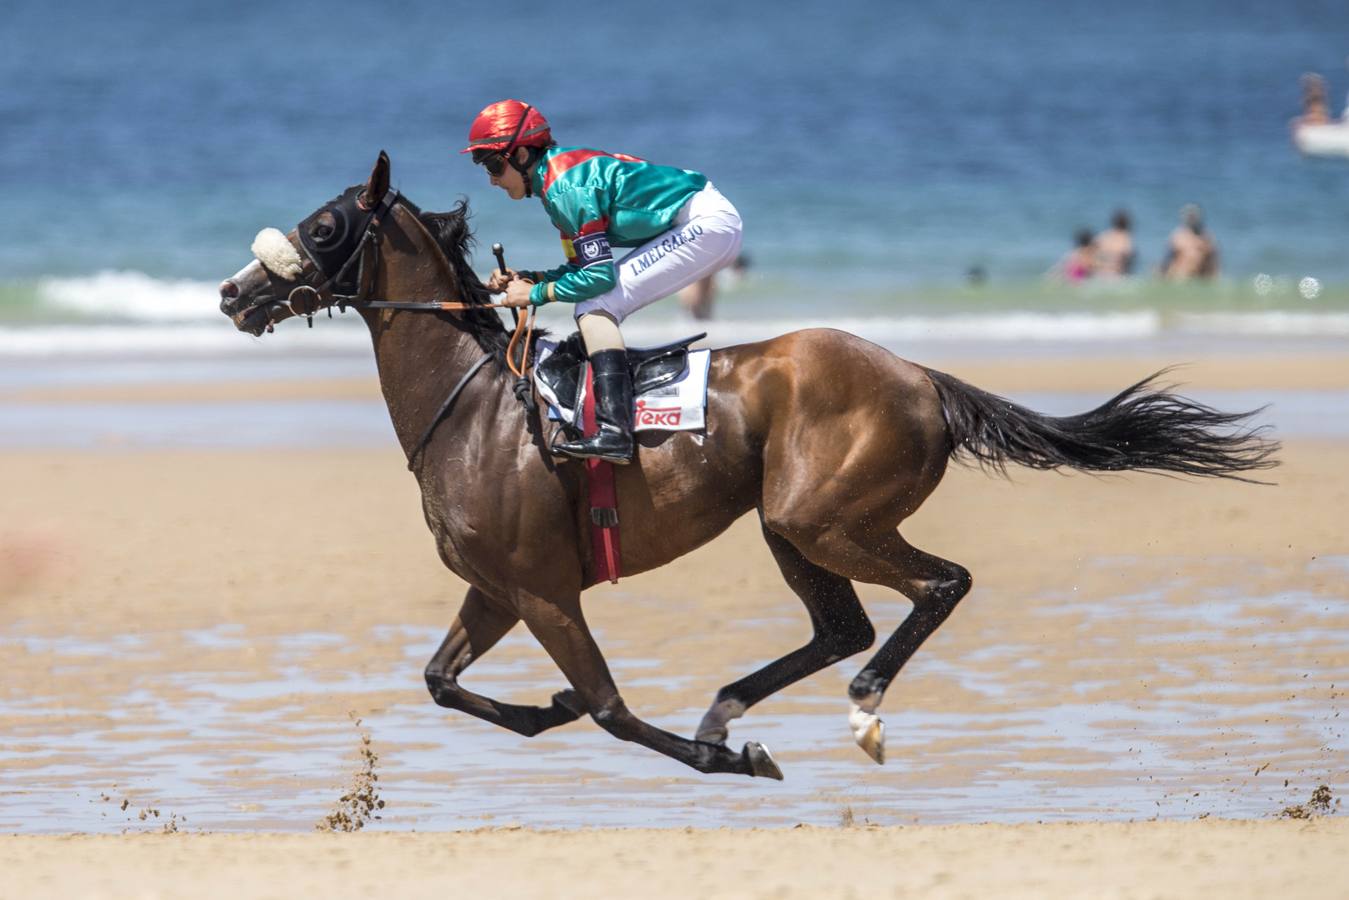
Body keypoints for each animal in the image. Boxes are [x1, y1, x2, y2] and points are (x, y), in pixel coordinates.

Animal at [218, 151, 1273, 777]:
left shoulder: (545, 591)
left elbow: (608, 709)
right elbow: (442, 681)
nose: (232, 292)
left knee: (936, 586)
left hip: (821, 516)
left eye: (322, 227)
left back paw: (854, 713)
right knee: (844, 625)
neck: (476, 407)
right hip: (785, 523)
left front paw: (705, 754)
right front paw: (548, 708)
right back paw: (728, 709)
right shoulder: (496, 586)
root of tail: (921, 377)